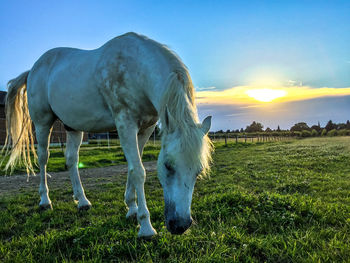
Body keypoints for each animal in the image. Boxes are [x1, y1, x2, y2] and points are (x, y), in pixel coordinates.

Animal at [4, 32, 212, 238]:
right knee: (43, 158)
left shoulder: (146, 129)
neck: (137, 69)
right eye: (168, 166)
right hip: (43, 123)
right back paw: (45, 201)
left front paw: (132, 209)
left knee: (71, 159)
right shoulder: (125, 124)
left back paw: (82, 201)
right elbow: (138, 171)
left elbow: (133, 168)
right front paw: (145, 226)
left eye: (199, 170)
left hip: (73, 127)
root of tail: (32, 69)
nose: (180, 225)